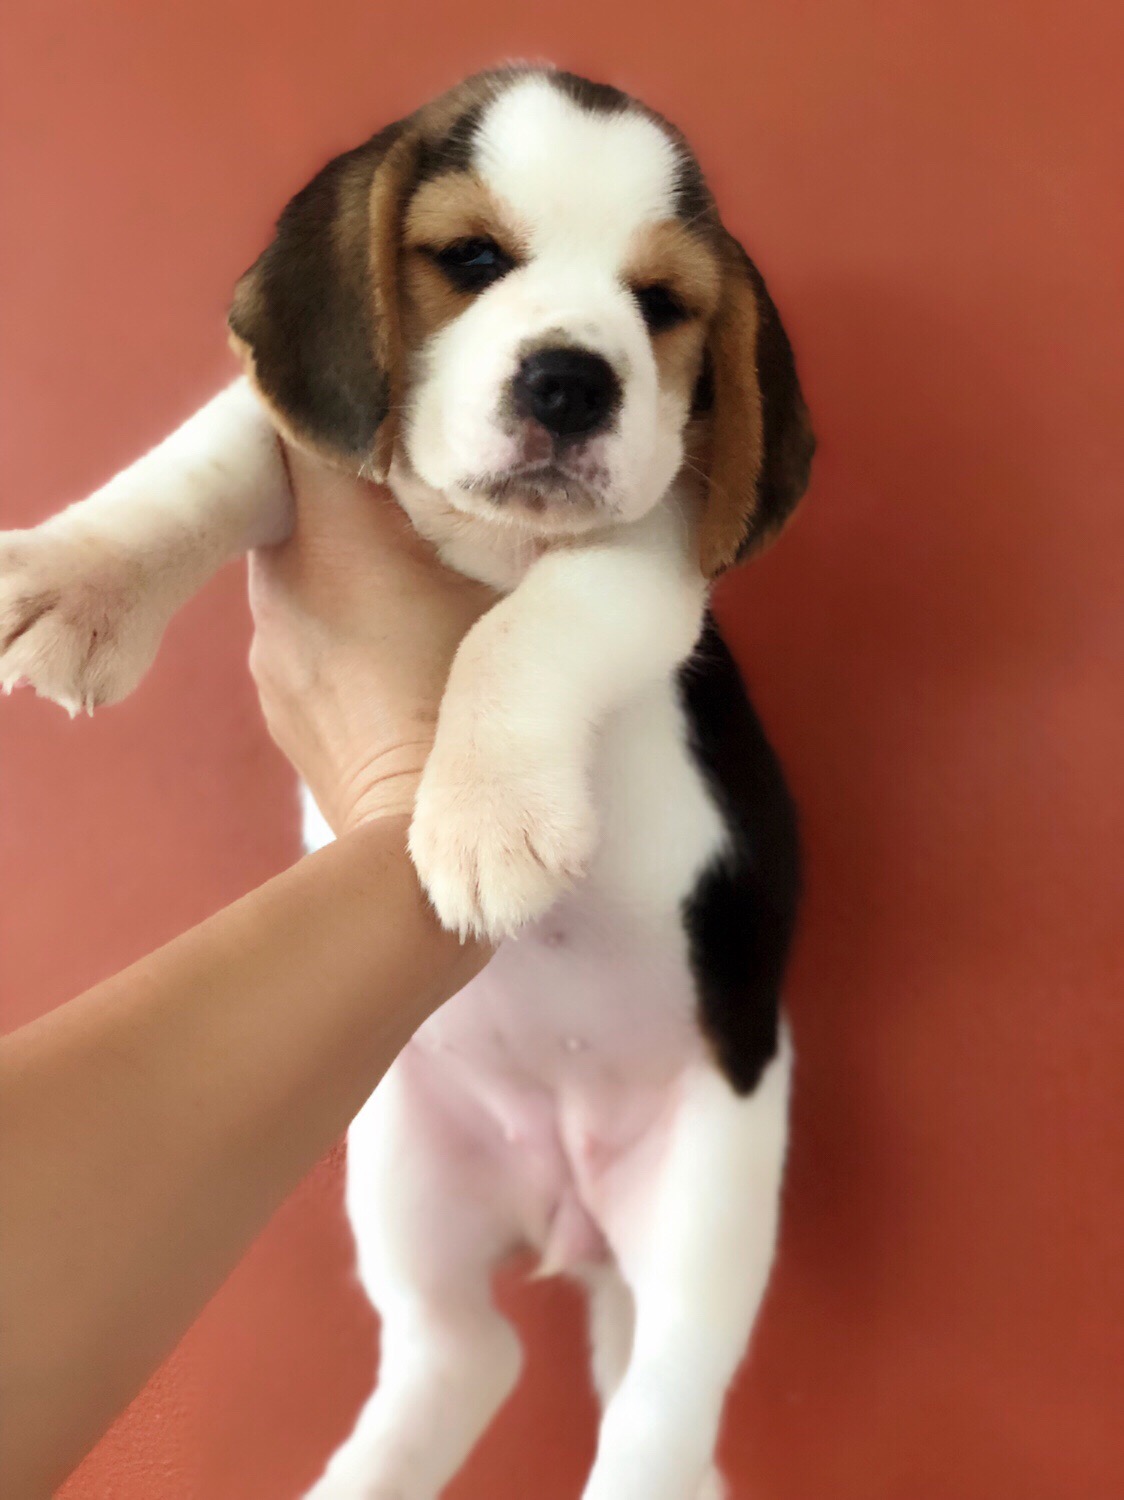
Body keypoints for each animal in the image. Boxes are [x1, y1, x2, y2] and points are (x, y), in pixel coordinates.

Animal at [0, 66, 814, 1500]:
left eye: (661, 305)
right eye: (471, 259)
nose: (572, 382)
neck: (482, 535)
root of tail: (568, 1204)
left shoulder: (650, 550)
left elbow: (526, 627)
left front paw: (486, 815)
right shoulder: (301, 451)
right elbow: (206, 454)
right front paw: (78, 576)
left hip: (709, 1212)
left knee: (653, 1416)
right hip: (399, 1174)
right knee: (459, 1355)